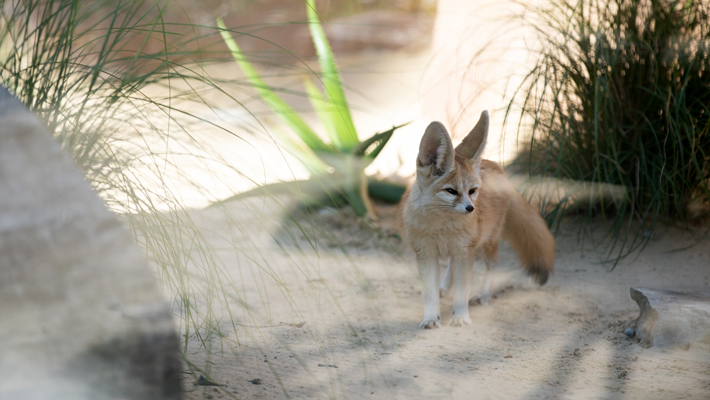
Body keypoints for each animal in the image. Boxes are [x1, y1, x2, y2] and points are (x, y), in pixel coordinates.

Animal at [400, 110, 556, 328]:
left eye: (472, 191)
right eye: (451, 191)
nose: (470, 208)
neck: (441, 228)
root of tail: (496, 166)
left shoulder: (465, 251)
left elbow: (462, 290)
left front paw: (460, 317)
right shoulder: (426, 253)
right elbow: (430, 294)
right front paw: (430, 318)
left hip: (484, 244)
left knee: (494, 265)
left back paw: (483, 295)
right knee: (452, 266)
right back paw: (445, 288)